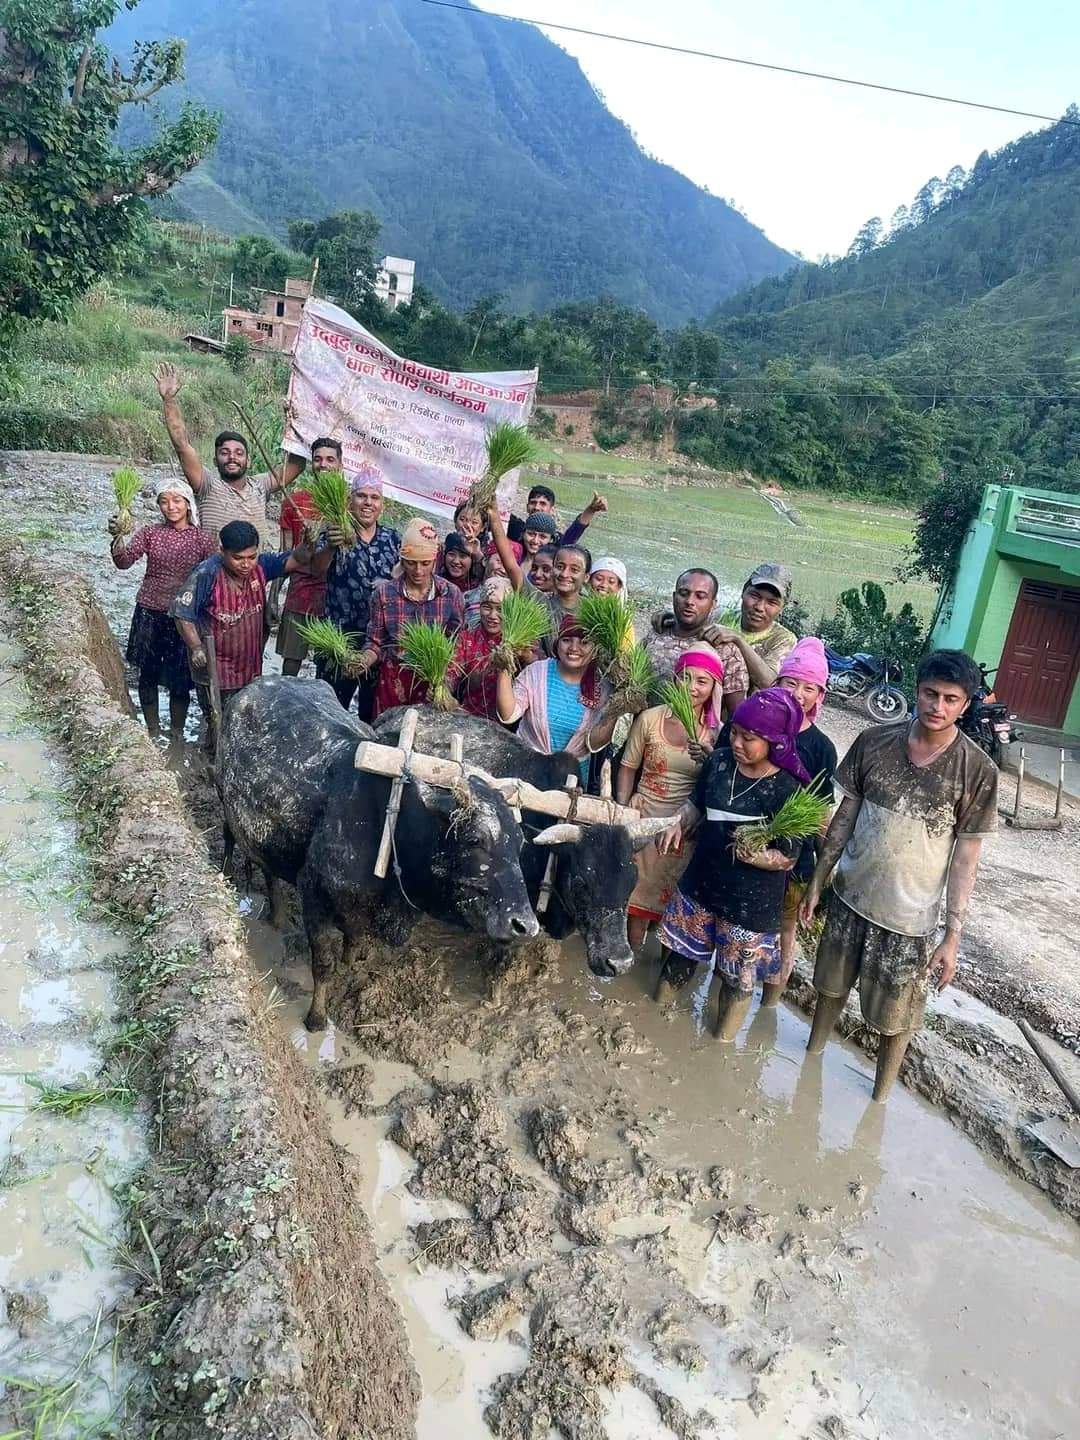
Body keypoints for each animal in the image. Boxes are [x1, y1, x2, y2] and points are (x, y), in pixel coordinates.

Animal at [217, 679, 538, 1031]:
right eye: (475, 838)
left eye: (520, 843)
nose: (525, 925)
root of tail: (250, 688)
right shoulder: (315, 894)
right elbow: (323, 965)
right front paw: (316, 1018)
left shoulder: (360, 909)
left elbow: (355, 940)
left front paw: (350, 962)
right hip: (225, 804)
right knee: (230, 838)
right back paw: (226, 874)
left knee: (269, 869)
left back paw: (275, 915)